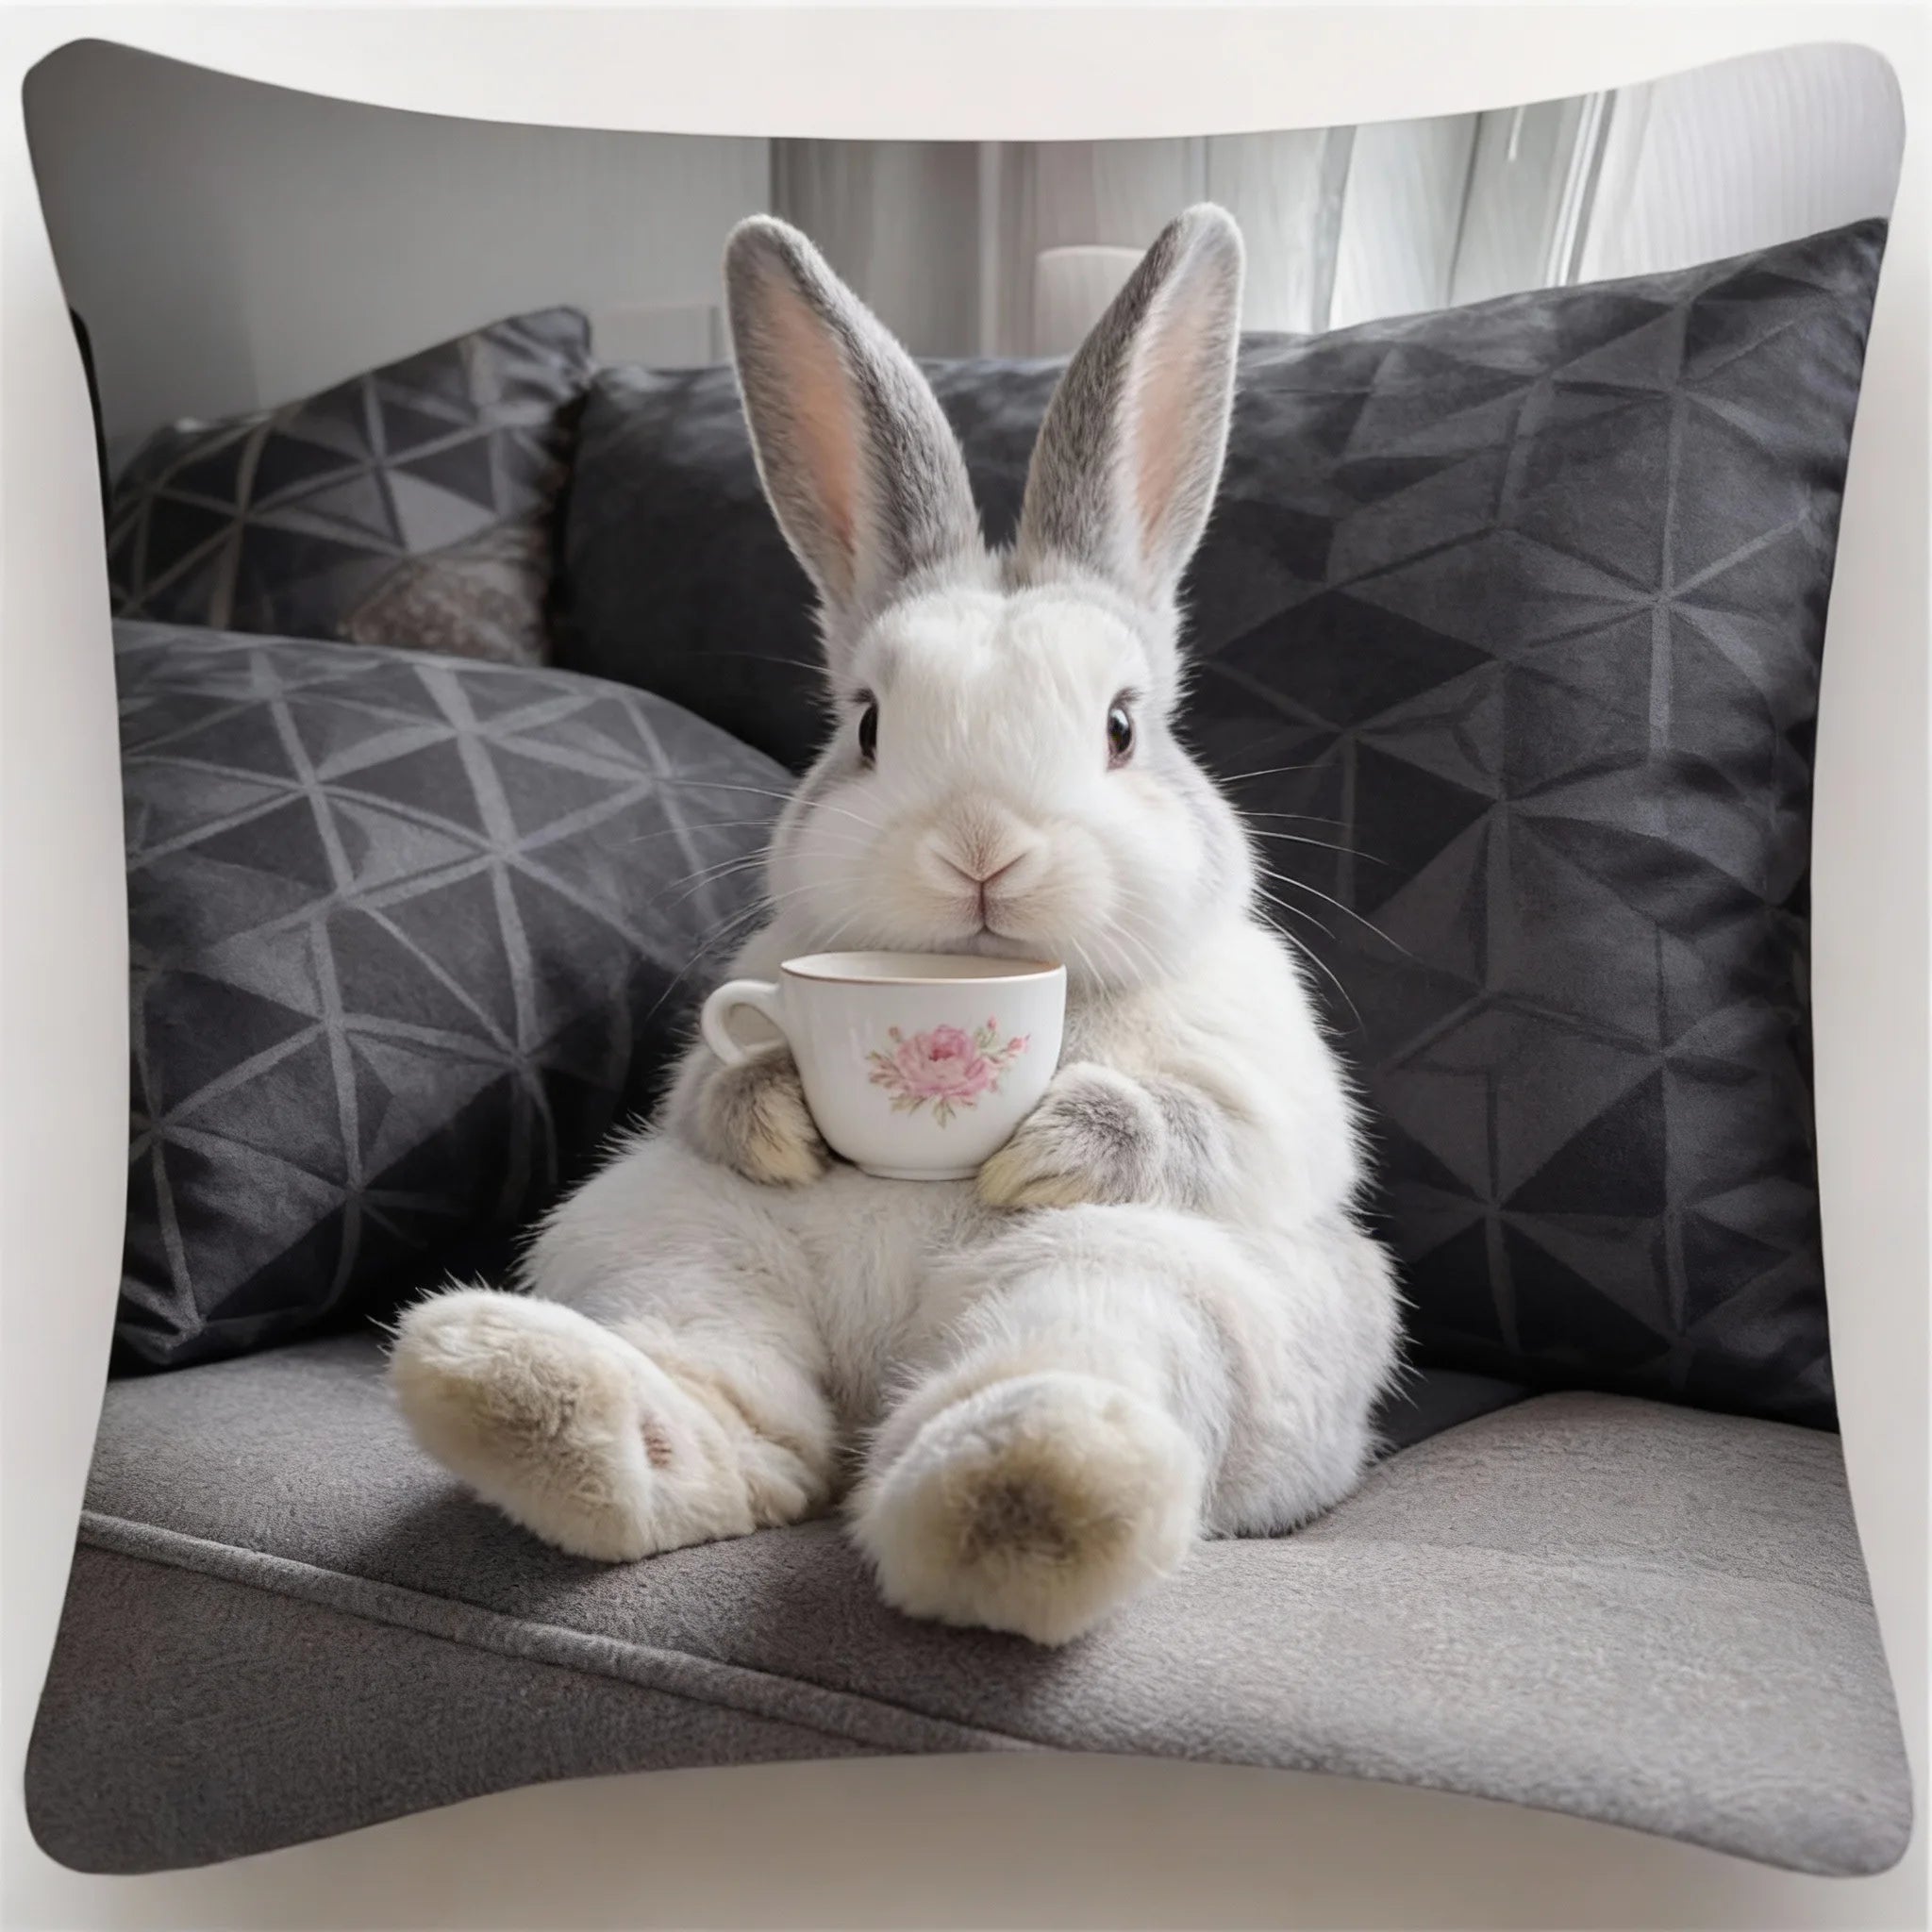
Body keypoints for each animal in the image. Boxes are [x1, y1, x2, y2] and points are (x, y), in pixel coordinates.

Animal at [389, 204, 1401, 1648]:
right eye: (867, 725)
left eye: (1121, 725)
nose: (981, 846)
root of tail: (875, 1374)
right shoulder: (750, 1003)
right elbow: (711, 1086)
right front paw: (782, 1121)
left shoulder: (1262, 1069)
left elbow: (1219, 1127)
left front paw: (1045, 1144)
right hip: (677, 1235)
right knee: (744, 1404)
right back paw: (550, 1411)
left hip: (1152, 1285)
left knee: (1057, 1360)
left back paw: (1023, 1492)